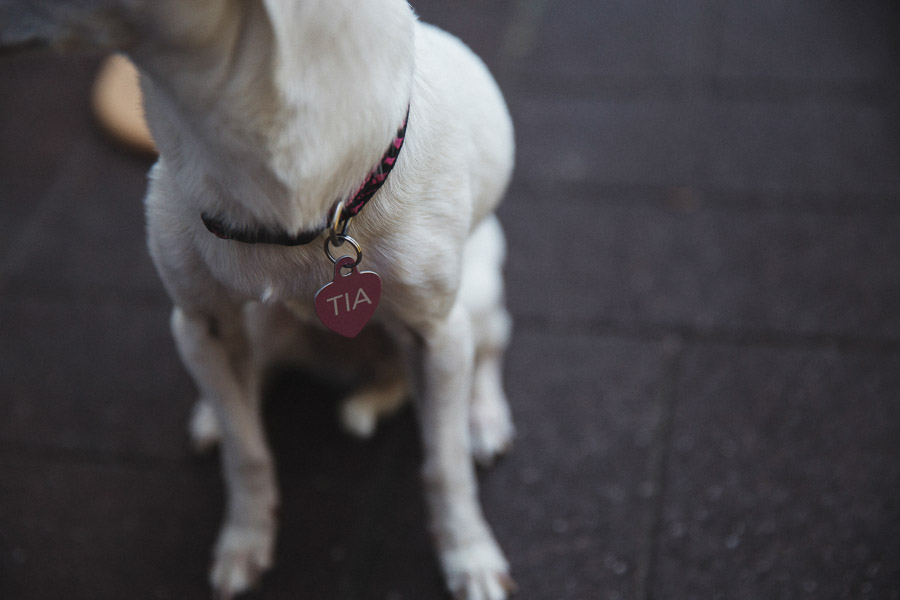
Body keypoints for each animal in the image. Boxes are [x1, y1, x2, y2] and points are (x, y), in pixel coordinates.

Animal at [3, 1, 516, 600]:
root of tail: (358, 367)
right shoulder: (201, 324)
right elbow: (246, 451)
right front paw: (245, 541)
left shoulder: (436, 335)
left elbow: (445, 464)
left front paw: (469, 553)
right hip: (256, 326)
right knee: (250, 382)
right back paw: (213, 414)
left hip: (476, 298)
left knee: (490, 350)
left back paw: (484, 419)